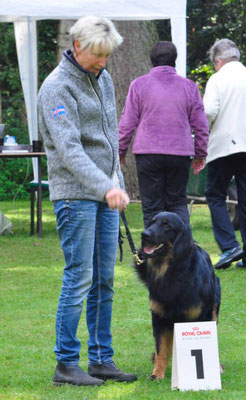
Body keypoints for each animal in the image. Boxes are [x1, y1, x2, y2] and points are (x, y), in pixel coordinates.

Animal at [135, 211, 221, 380]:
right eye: (152, 222)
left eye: (166, 225)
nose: (144, 234)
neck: (172, 271)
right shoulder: (159, 318)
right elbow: (160, 349)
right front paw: (157, 373)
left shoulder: (200, 317)